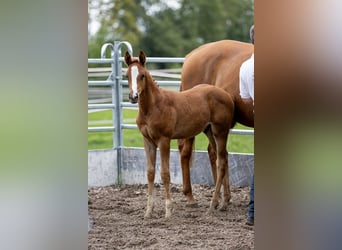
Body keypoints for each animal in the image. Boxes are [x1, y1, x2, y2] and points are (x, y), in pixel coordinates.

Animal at [125, 51, 235, 219]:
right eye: (126, 75)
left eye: (142, 75)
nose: (133, 96)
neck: (152, 107)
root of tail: (227, 95)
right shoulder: (148, 141)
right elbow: (150, 173)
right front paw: (148, 212)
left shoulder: (164, 140)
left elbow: (165, 173)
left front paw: (168, 211)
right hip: (209, 131)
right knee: (224, 157)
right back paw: (223, 202)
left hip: (220, 131)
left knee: (221, 162)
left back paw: (213, 205)